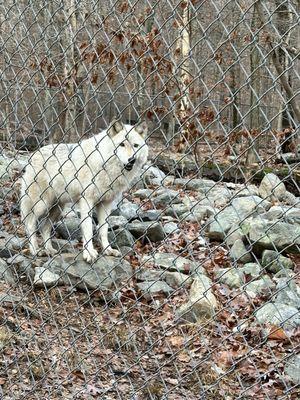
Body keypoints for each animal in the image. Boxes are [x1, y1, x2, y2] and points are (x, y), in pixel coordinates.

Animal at [20, 119, 149, 262]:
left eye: (136, 146)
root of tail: (33, 155)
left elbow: (103, 229)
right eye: (122, 144)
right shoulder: (87, 200)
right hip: (42, 204)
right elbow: (88, 229)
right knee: (30, 224)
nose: (132, 159)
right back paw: (35, 251)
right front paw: (89, 253)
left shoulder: (106, 203)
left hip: (58, 208)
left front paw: (108, 250)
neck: (106, 167)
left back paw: (49, 250)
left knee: (44, 228)